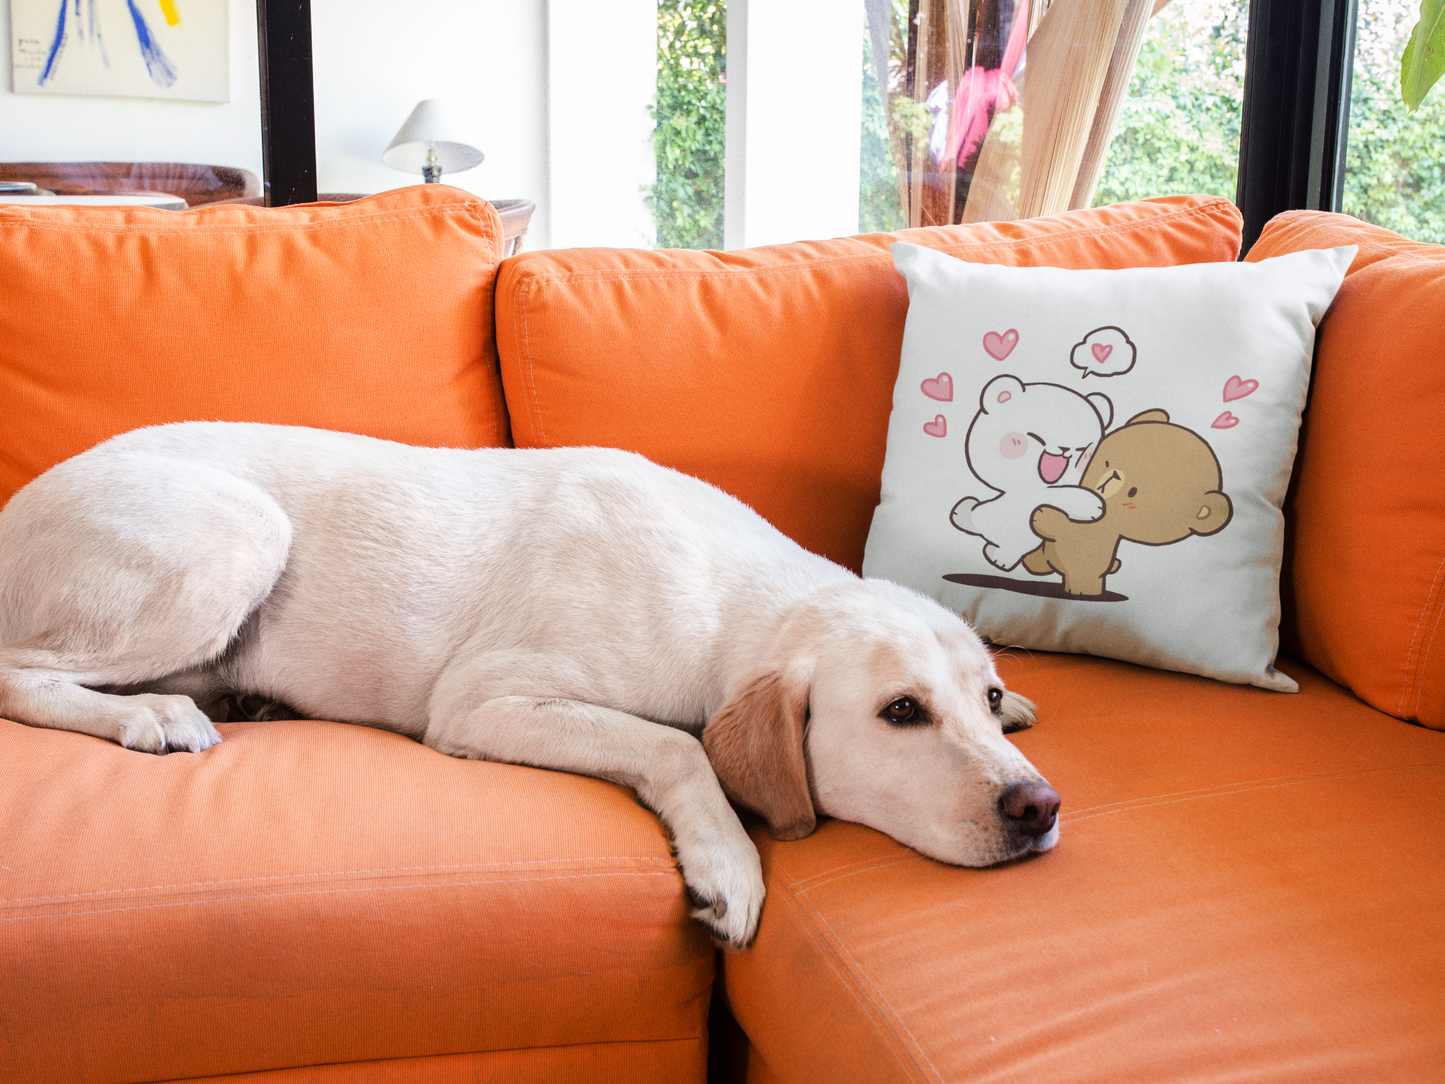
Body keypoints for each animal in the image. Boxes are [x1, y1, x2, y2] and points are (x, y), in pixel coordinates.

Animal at [951, 374, 1113, 571]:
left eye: (1084, 451)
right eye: (1035, 438)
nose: (1065, 449)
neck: (1030, 488)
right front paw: (1094, 505)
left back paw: (997, 556)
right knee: (974, 517)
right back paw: (962, 513)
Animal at [1022, 409, 1233, 597]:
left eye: (1133, 492)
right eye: (1107, 462)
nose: (1115, 475)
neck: (1106, 520)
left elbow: (1058, 526)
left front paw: (1042, 515)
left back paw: (1083, 591)